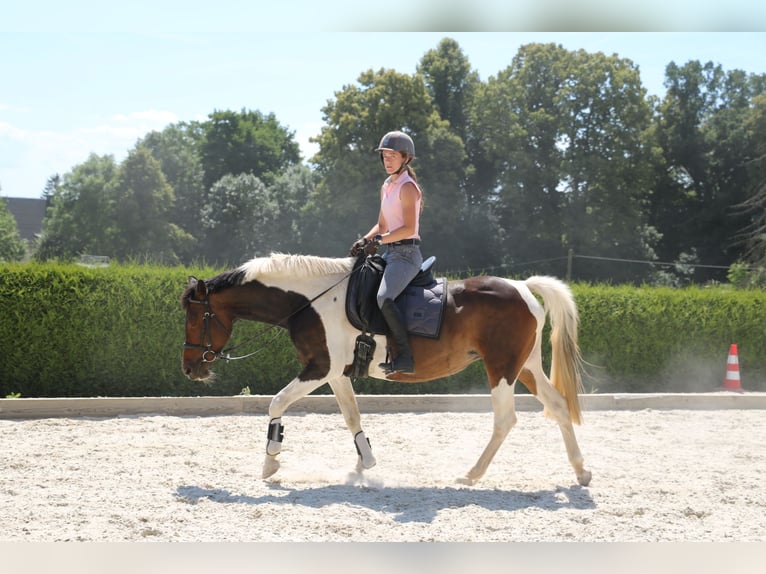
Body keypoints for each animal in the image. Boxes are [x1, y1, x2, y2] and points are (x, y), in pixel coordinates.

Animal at [181, 252, 591, 487]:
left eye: (194, 318)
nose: (189, 369)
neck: (312, 299)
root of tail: (522, 287)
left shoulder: (319, 368)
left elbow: (276, 404)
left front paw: (270, 461)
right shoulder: (336, 373)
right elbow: (351, 416)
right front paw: (364, 462)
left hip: (502, 368)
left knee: (506, 419)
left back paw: (472, 474)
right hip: (526, 367)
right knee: (558, 406)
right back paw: (580, 471)